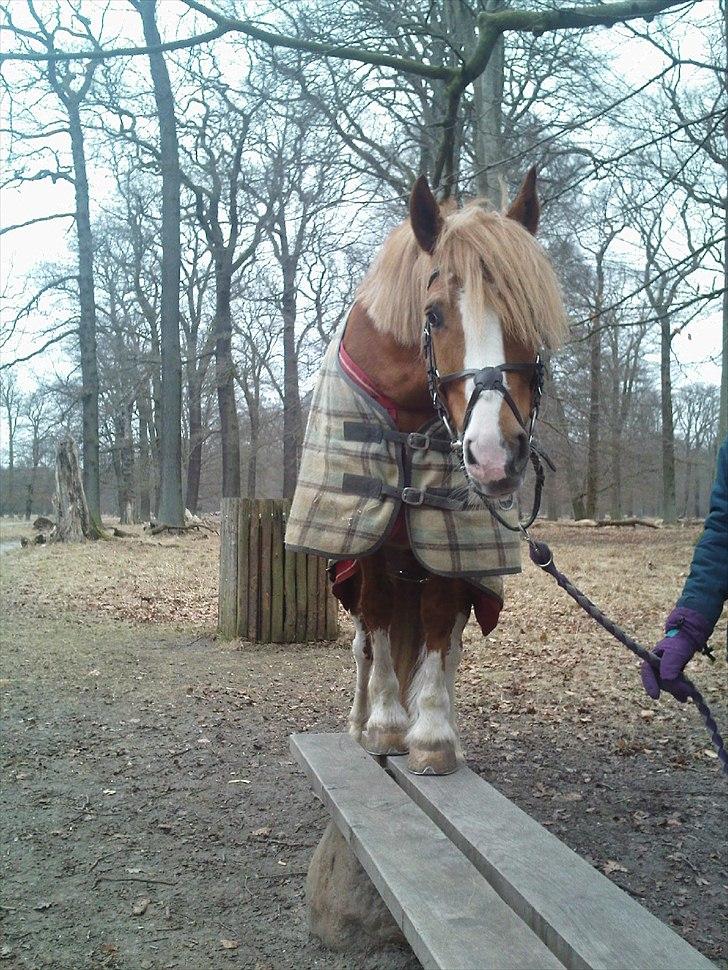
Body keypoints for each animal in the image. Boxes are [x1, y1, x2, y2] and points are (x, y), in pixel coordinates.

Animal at [292, 168, 564, 772]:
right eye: (434, 314)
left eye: (531, 317)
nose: (494, 454)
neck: (410, 412)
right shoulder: (368, 541)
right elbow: (377, 621)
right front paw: (385, 725)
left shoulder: (452, 541)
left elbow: (440, 623)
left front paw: (435, 736)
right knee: (365, 641)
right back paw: (361, 718)